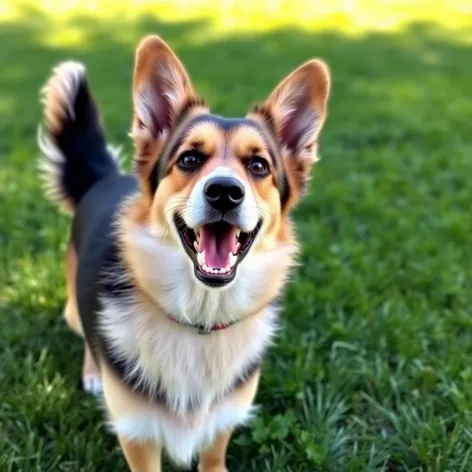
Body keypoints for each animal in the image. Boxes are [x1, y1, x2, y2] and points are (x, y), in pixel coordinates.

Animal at [37, 35, 330, 470]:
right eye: (189, 159)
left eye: (259, 166)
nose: (224, 191)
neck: (199, 318)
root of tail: (107, 178)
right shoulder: (137, 433)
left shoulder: (223, 422)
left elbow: (214, 455)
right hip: (76, 306)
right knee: (88, 332)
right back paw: (92, 374)